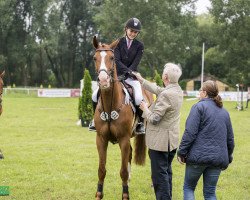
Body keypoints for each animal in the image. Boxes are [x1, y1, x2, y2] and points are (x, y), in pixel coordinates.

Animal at [93, 36, 152, 200]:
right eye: (94, 58)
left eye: (112, 58)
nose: (103, 80)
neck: (110, 104)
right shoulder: (101, 139)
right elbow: (101, 169)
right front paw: (99, 194)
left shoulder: (123, 139)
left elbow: (123, 171)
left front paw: (125, 195)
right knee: (130, 155)